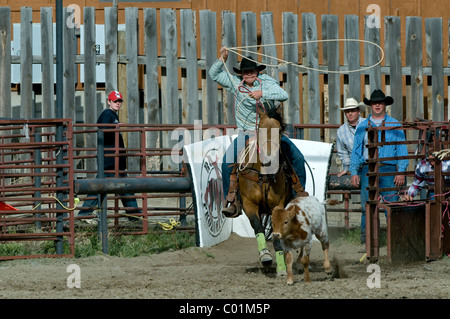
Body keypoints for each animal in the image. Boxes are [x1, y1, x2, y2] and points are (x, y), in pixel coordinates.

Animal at [232, 104, 298, 276]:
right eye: (260, 129)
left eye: (279, 131)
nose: (268, 159)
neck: (264, 175)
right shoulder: (249, 204)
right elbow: (258, 226)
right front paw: (266, 256)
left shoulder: (278, 205)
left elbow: (277, 235)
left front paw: (281, 267)